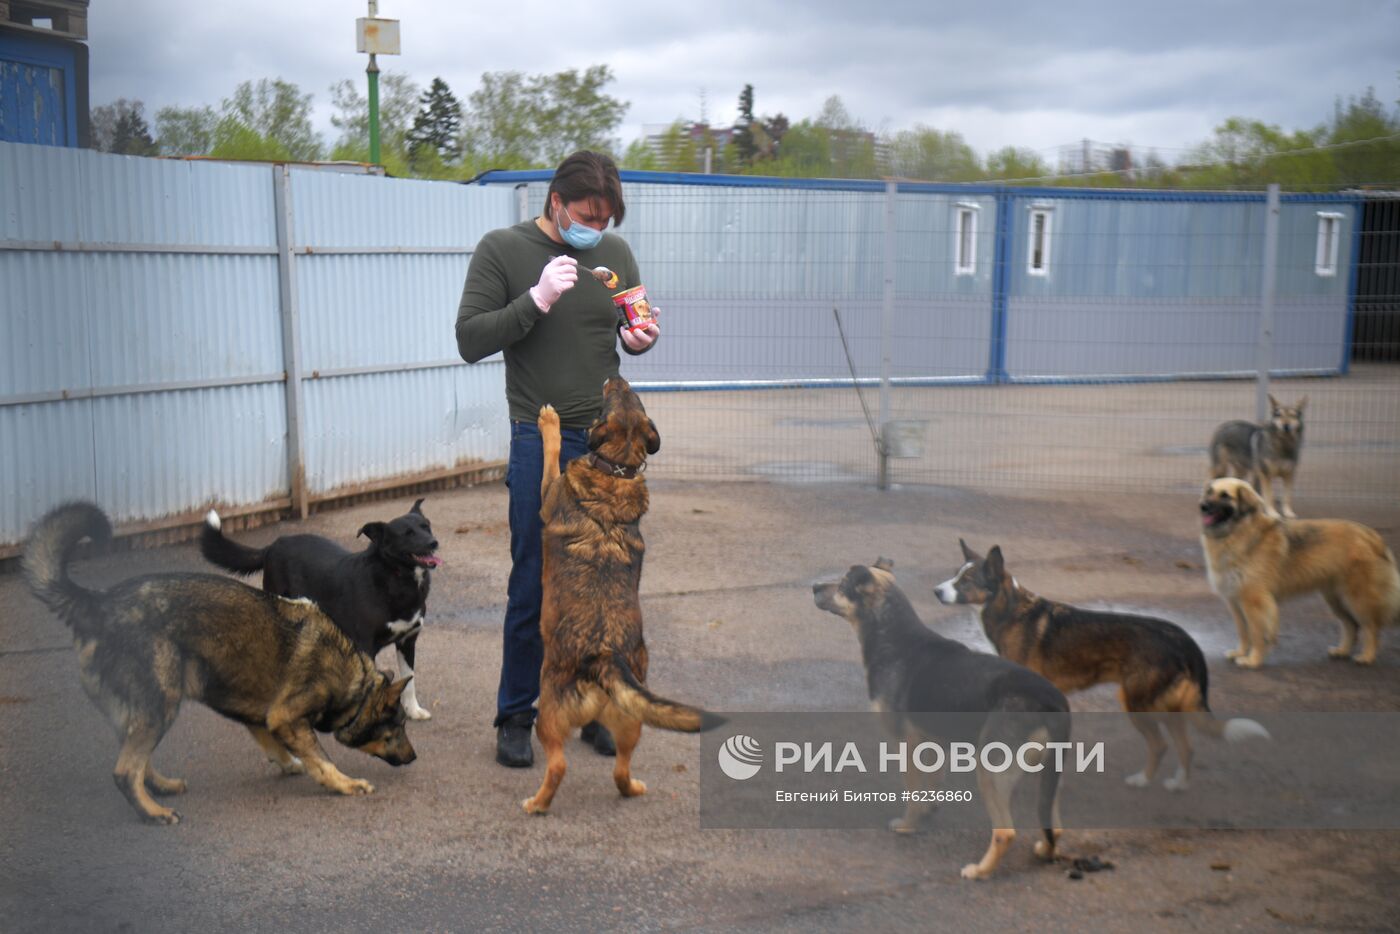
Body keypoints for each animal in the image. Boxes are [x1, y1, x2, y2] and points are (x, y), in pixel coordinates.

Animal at [203, 501, 439, 722]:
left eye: (426, 526)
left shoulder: (408, 640)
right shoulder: (366, 646)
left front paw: (413, 710)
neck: (396, 577)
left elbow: (409, 680)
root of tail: (274, 544)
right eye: (407, 534)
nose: (433, 542)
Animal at [523, 375, 722, 812]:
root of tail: (605, 656)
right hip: (631, 723)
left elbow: (552, 453)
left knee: (558, 764)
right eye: (630, 396)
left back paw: (537, 803)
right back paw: (632, 788)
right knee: (620, 768)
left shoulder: (548, 491)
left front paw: (550, 423)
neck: (617, 470)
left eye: (612, 397)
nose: (617, 377)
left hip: (548, 714)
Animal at [817, 562, 1064, 884]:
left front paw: (908, 825)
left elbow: (913, 791)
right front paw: (928, 810)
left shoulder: (907, 743)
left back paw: (980, 871)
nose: (814, 587)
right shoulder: (932, 741)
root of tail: (1052, 700)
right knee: (1053, 825)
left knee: (1004, 832)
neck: (891, 635)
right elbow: (931, 782)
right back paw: (1044, 851)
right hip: (1047, 771)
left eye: (843, 585)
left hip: (992, 770)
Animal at [929, 540, 1271, 795]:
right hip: (1166, 705)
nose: (935, 591)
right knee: (1186, 748)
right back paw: (1178, 784)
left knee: (1160, 745)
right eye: (955, 575)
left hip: (1138, 704)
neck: (1011, 612)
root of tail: (1181, 637)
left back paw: (1142, 780)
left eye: (967, 581)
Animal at [1198, 478, 1394, 669]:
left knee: (1371, 627)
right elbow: (1243, 631)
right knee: (1351, 626)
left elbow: (1256, 633)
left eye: (1225, 496)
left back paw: (1367, 656)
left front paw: (1252, 660)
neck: (1238, 532)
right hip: (1336, 599)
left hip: (1357, 598)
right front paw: (1240, 652)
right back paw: (1342, 651)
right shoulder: (1235, 601)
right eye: (1209, 492)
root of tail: (1370, 534)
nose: (1203, 506)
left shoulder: (1254, 600)